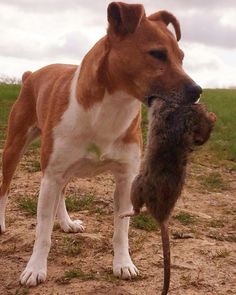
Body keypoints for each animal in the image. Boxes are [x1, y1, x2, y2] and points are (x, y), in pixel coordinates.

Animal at [0, 1, 201, 290]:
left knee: (62, 193)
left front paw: (123, 264)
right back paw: (2, 223)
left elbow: (121, 230)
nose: (198, 91)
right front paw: (35, 268)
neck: (110, 110)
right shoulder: (50, 175)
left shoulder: (125, 179)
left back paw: (67, 223)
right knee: (5, 188)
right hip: (15, 148)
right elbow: (43, 230)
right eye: (157, 54)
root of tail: (30, 75)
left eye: (181, 57)